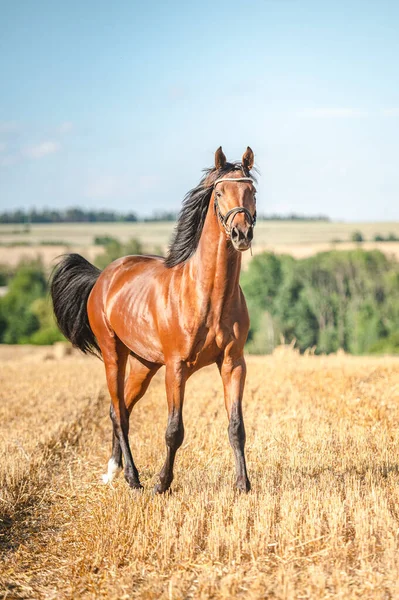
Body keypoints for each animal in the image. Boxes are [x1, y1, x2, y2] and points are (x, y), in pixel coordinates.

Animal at [51, 145, 258, 492]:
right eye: (219, 193)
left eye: (252, 191)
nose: (241, 233)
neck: (208, 296)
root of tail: (103, 277)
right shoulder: (176, 368)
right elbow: (174, 430)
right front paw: (162, 483)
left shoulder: (233, 364)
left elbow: (236, 426)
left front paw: (243, 485)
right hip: (113, 355)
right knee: (119, 412)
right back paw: (132, 478)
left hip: (143, 365)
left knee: (119, 408)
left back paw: (113, 471)